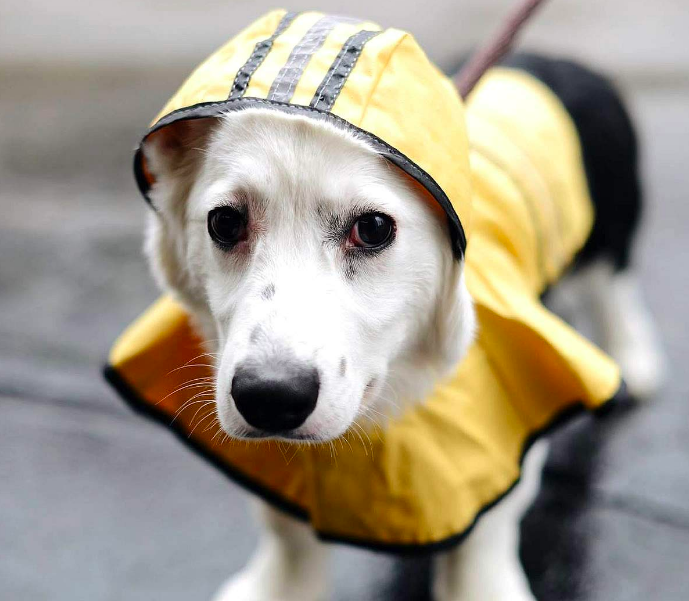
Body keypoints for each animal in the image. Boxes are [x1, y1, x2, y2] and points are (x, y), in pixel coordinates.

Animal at [106, 10, 660, 600]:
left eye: (373, 228)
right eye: (225, 222)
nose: (271, 397)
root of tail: (560, 60)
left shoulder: (503, 423)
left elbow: (483, 541)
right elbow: (285, 532)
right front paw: (277, 588)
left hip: (611, 230)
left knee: (613, 288)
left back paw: (634, 362)